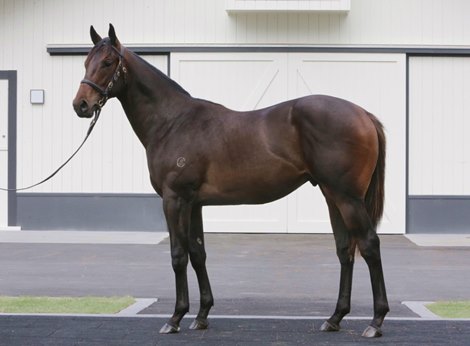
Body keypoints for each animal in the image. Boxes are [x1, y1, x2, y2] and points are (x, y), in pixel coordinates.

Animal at [73, 25, 390, 338]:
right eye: (86, 61)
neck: (173, 122)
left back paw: (376, 321)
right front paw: (201, 315)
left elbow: (178, 255)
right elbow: (198, 253)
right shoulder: (194, 203)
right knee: (345, 250)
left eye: (108, 62)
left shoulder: (175, 199)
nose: (81, 105)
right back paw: (335, 318)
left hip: (348, 198)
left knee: (369, 245)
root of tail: (363, 114)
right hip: (332, 195)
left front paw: (175, 318)